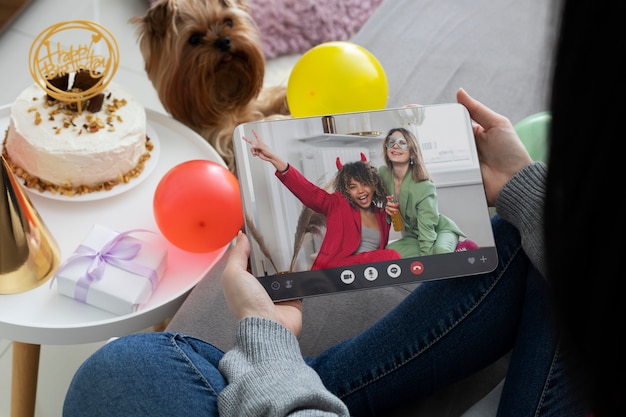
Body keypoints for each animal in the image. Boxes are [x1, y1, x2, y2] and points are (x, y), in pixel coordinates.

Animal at [133, 0, 288, 172]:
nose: (223, 41)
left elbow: (279, 96)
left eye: (229, 22)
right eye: (194, 39)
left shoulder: (259, 101)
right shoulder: (224, 143)